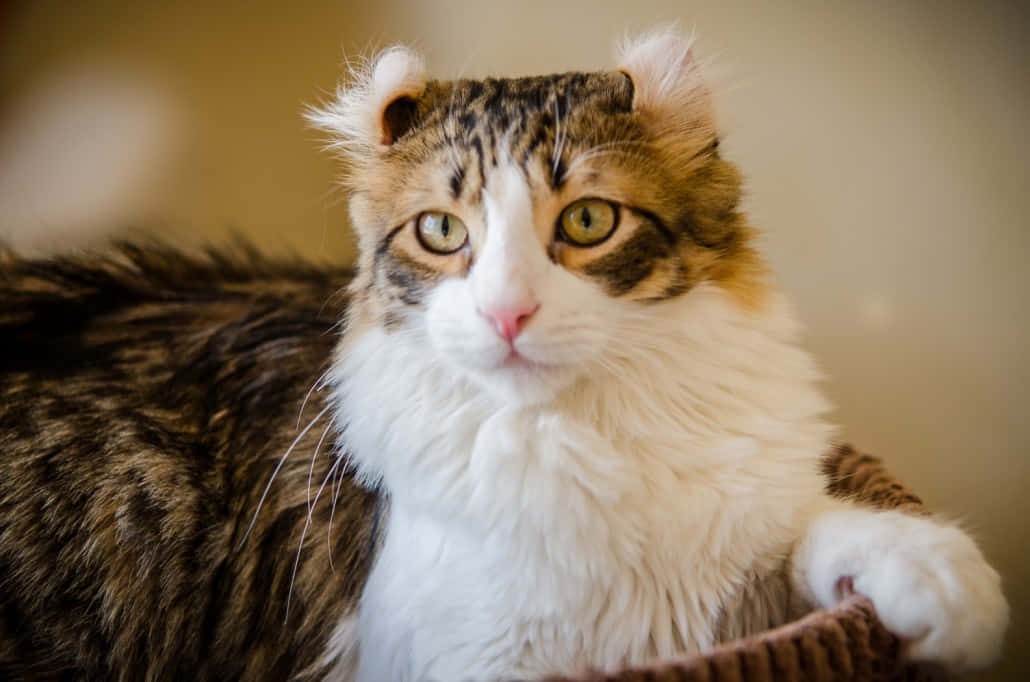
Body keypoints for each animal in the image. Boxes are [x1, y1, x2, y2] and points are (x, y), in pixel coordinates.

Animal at [0, 26, 1005, 682]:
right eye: (442, 232)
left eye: (589, 222)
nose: (506, 312)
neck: (582, 434)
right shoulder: (454, 653)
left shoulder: (721, 576)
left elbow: (820, 525)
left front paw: (940, 583)